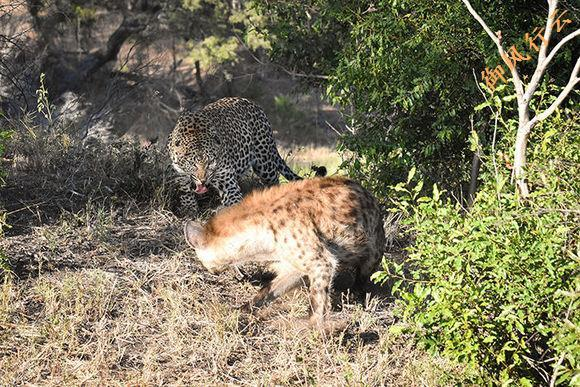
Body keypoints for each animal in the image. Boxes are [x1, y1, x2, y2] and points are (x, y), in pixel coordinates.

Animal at [167, 97, 308, 215]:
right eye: (193, 164)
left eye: (210, 162)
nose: (203, 180)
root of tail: (251, 103)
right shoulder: (179, 174)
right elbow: (185, 191)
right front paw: (189, 209)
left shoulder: (226, 181)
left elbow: (234, 200)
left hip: (265, 163)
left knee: (274, 180)